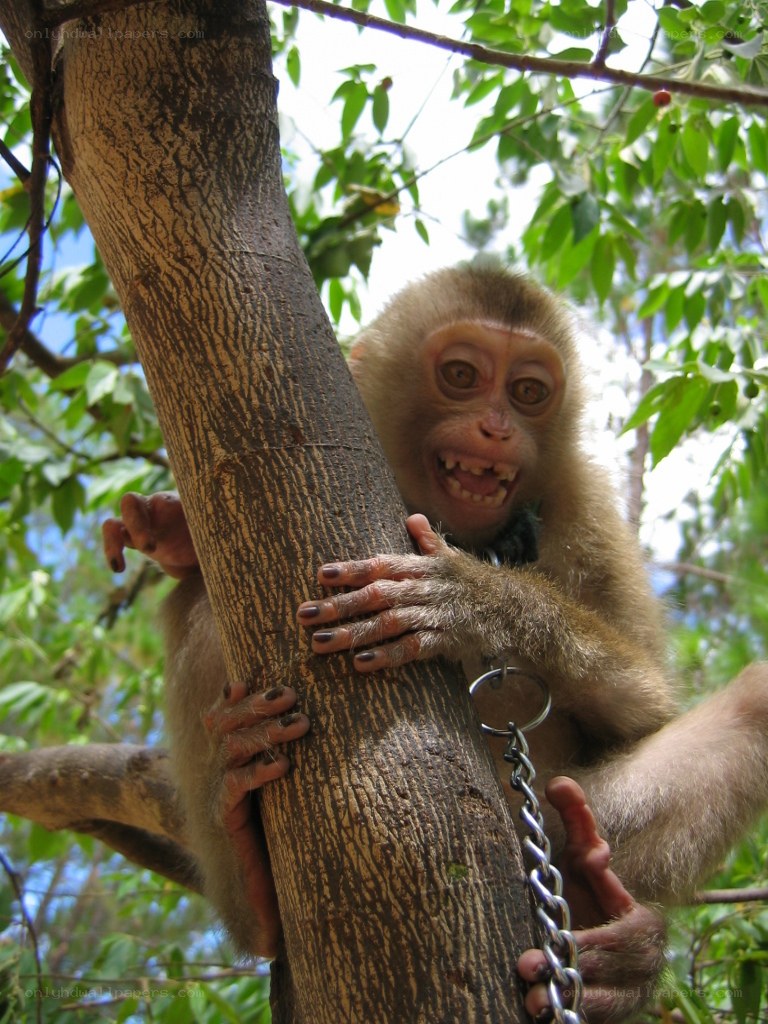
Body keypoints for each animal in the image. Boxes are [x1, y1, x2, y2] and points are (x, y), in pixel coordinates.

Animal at [103, 264, 768, 1021]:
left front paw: (474, 600)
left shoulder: (583, 501)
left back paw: (611, 944)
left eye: (528, 391)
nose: (496, 427)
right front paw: (168, 529)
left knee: (751, 703)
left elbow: (645, 707)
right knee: (197, 606)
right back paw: (250, 864)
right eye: (460, 374)